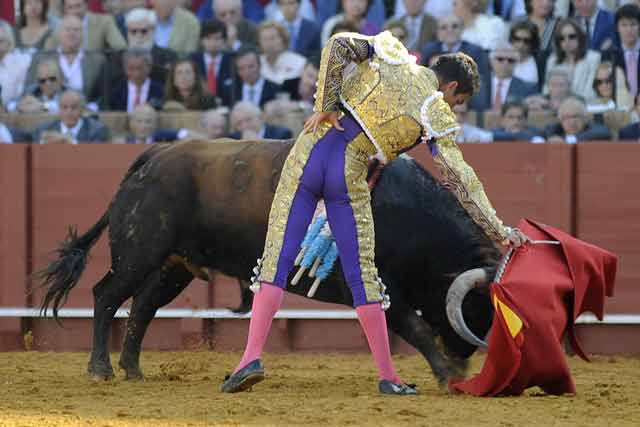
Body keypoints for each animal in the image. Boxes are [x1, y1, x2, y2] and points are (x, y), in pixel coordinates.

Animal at [38, 140, 500, 388]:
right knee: (106, 296)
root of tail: (153, 156)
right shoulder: (375, 284)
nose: (467, 359)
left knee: (143, 307)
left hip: (175, 265)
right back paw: (100, 369)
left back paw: (133, 369)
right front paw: (445, 374)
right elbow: (415, 327)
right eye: (481, 308)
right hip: (139, 252)